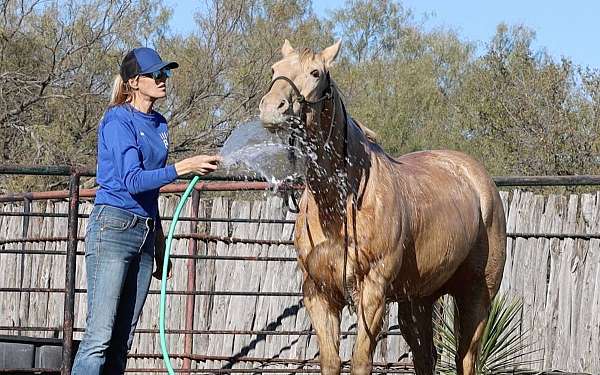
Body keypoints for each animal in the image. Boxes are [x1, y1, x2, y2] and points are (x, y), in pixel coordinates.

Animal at [258, 39, 506, 374]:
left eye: (315, 73)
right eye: (275, 69)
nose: (273, 108)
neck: (342, 202)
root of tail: (478, 179)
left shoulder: (373, 292)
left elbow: (361, 360)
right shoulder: (319, 293)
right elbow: (331, 360)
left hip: (477, 293)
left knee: (466, 357)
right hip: (419, 299)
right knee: (426, 355)